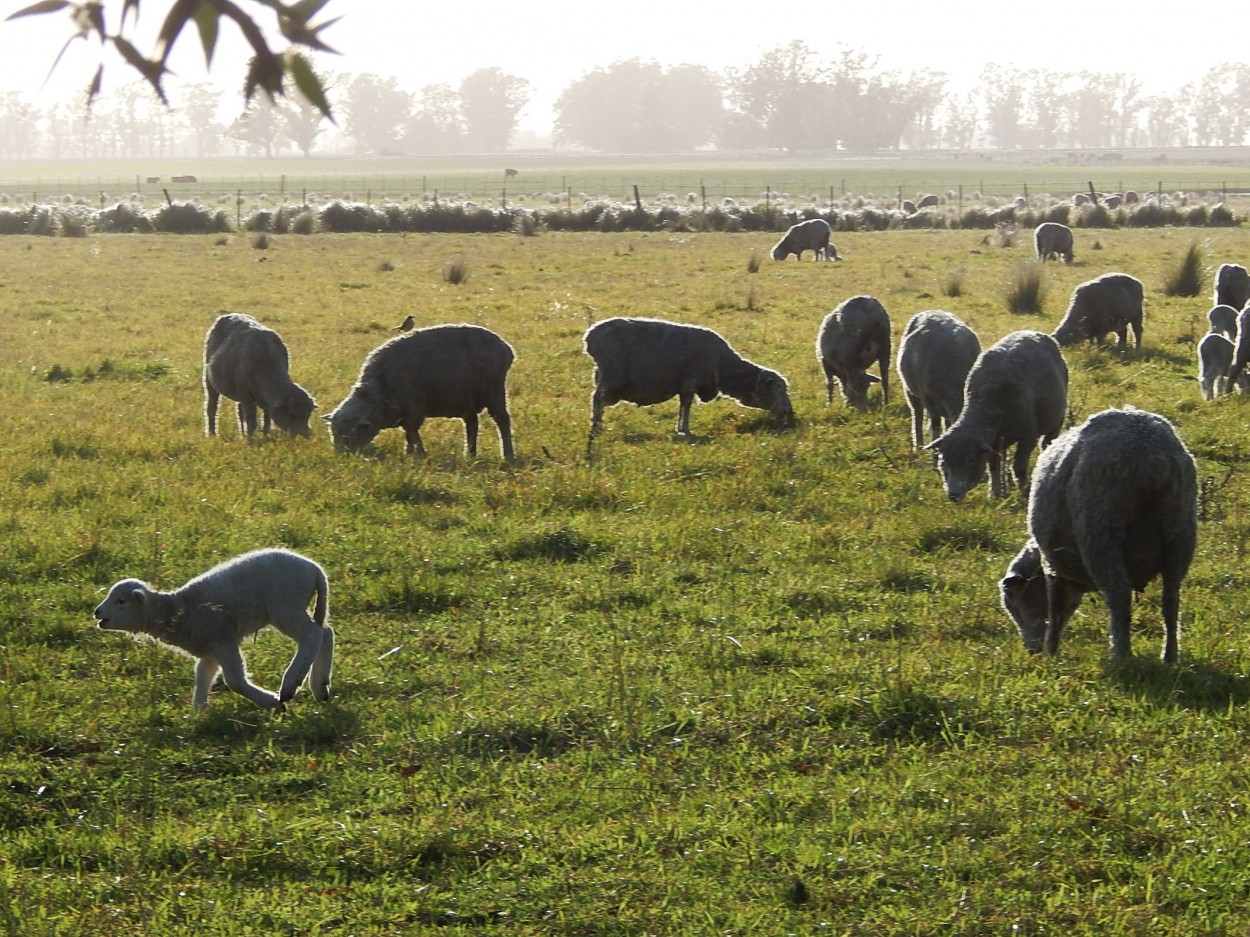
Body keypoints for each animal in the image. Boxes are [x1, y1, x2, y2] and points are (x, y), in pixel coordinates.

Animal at [93, 547, 335, 709]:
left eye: (121, 601)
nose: (97, 612)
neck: (177, 610)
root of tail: (315, 569)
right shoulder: (209, 650)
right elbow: (202, 677)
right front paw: (198, 714)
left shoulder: (223, 641)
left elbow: (235, 681)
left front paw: (270, 702)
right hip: (293, 608)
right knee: (325, 632)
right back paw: (320, 687)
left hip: (284, 607)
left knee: (312, 635)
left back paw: (290, 685)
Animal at [327, 322, 517, 462]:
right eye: (333, 433)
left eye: (352, 434)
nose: (341, 457)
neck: (379, 391)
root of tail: (505, 346)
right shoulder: (404, 413)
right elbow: (408, 433)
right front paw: (409, 452)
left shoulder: (414, 409)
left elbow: (412, 431)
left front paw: (419, 454)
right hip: (467, 398)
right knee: (472, 424)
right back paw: (470, 454)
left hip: (494, 391)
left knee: (502, 421)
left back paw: (507, 455)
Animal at [895, 312, 980, 452]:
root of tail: (930, 311)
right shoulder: (927, 397)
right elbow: (935, 423)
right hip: (910, 391)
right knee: (917, 414)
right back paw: (918, 447)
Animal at [925, 332, 1070, 502]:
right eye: (943, 460)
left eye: (971, 459)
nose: (953, 494)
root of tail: (1037, 333)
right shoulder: (992, 443)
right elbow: (993, 467)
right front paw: (994, 495)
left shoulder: (1028, 436)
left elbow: (1019, 468)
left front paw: (1025, 493)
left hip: (1058, 418)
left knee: (1047, 442)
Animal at [995, 407, 1200, 664]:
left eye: (1013, 603)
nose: (1032, 650)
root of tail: (1152, 459)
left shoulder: (1053, 565)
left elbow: (1055, 609)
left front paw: (1051, 654)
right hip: (1180, 531)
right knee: (1171, 599)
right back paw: (1170, 657)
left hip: (1100, 530)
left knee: (1119, 595)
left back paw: (1121, 656)